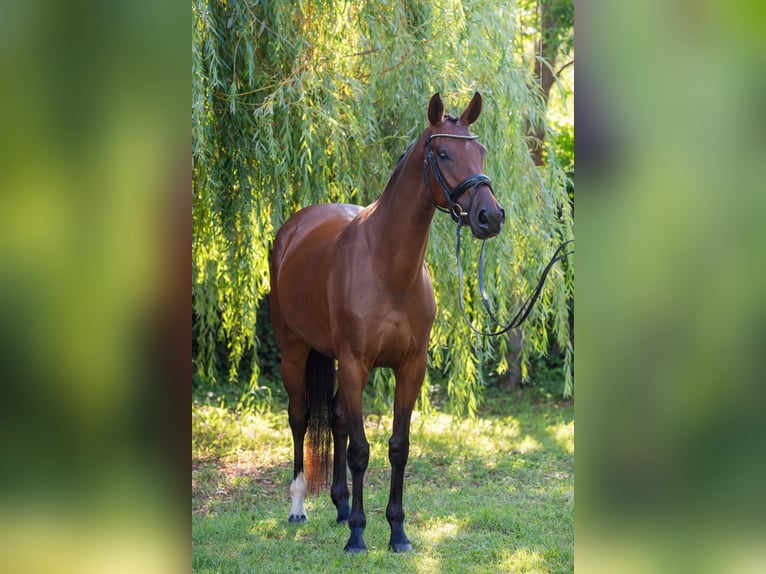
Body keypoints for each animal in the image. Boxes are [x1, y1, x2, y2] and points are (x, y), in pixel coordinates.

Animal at [269, 92, 505, 553]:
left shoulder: (411, 367)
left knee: (337, 418)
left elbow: (398, 446)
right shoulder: (356, 364)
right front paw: (359, 536)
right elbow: (361, 451)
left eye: (482, 151)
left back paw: (342, 507)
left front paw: (396, 531)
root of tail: (295, 228)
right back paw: (300, 506)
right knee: (300, 417)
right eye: (443, 153)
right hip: (295, 352)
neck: (389, 270)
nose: (490, 216)